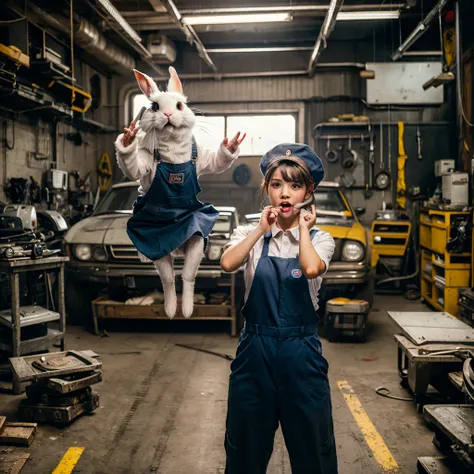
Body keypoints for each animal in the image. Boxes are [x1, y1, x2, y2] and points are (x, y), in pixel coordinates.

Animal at [115, 66, 246, 318]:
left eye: (179, 105)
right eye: (155, 106)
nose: (167, 115)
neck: (173, 150)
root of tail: (177, 249)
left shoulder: (203, 159)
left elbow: (217, 161)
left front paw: (231, 146)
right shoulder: (145, 163)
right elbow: (133, 166)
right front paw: (127, 140)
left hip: (195, 237)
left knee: (187, 275)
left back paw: (185, 309)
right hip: (154, 243)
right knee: (167, 278)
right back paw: (170, 308)